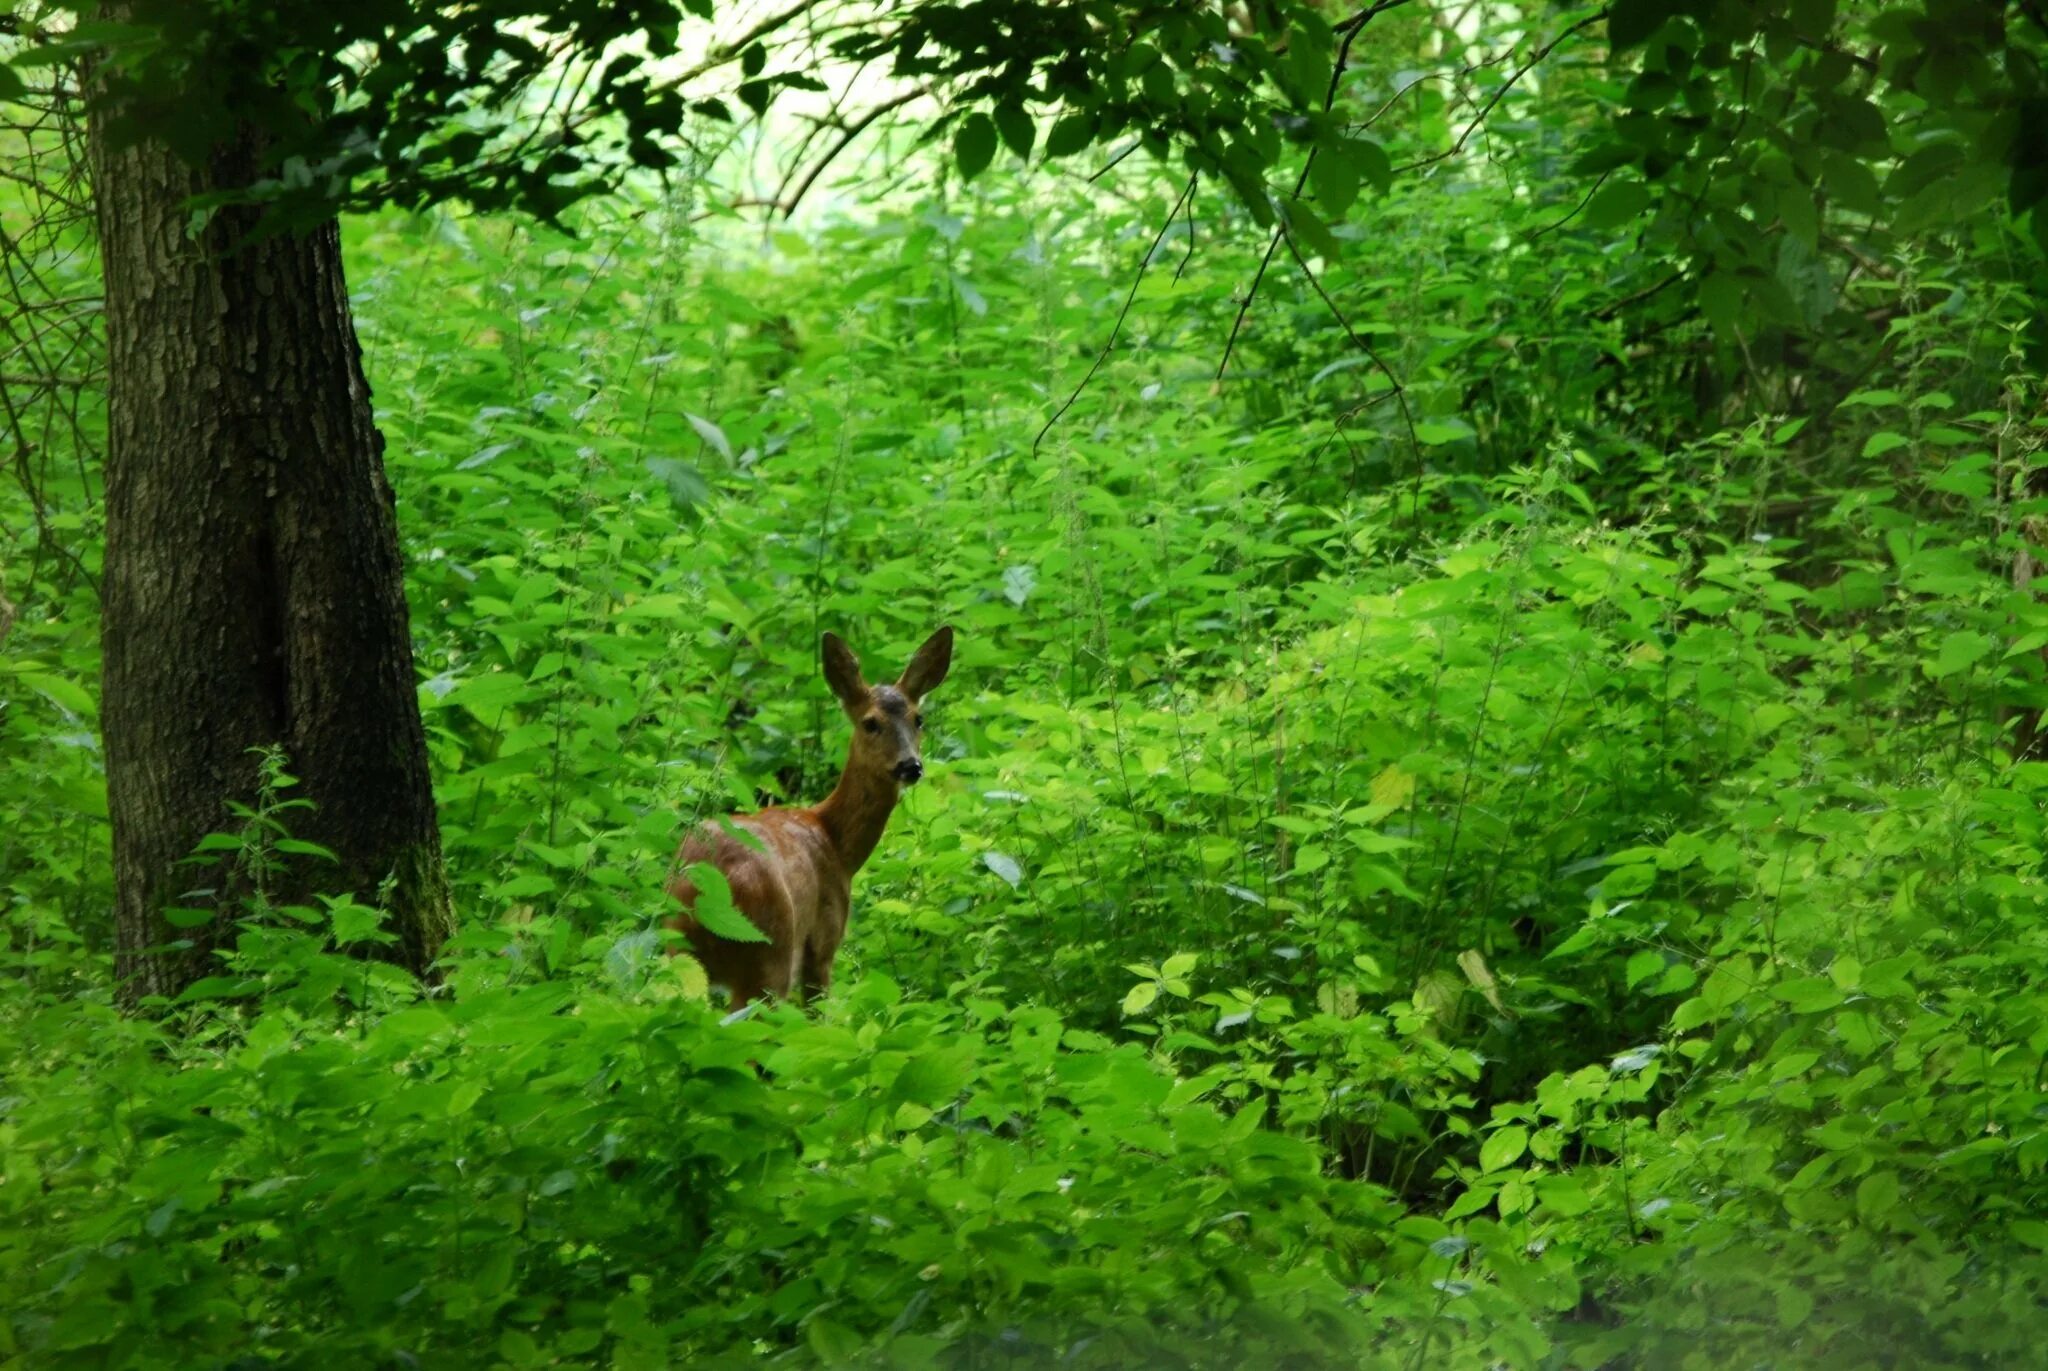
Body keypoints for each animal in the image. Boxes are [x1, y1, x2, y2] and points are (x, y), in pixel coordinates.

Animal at [671, 627, 958, 1012]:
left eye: (918, 719)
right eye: (870, 723)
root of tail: (704, 888)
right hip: (769, 952)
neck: (836, 842)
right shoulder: (823, 941)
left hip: (673, 946)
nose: (910, 766)